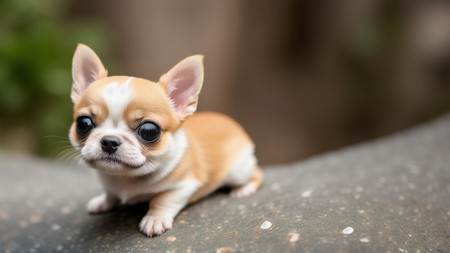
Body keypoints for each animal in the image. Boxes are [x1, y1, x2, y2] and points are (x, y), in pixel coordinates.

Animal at [67, 44, 264, 237]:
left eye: (149, 131)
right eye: (83, 123)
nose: (109, 140)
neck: (125, 177)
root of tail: (232, 123)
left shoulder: (184, 186)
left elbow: (162, 199)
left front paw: (155, 219)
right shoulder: (110, 185)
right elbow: (110, 193)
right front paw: (103, 201)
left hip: (239, 170)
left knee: (257, 174)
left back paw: (243, 189)